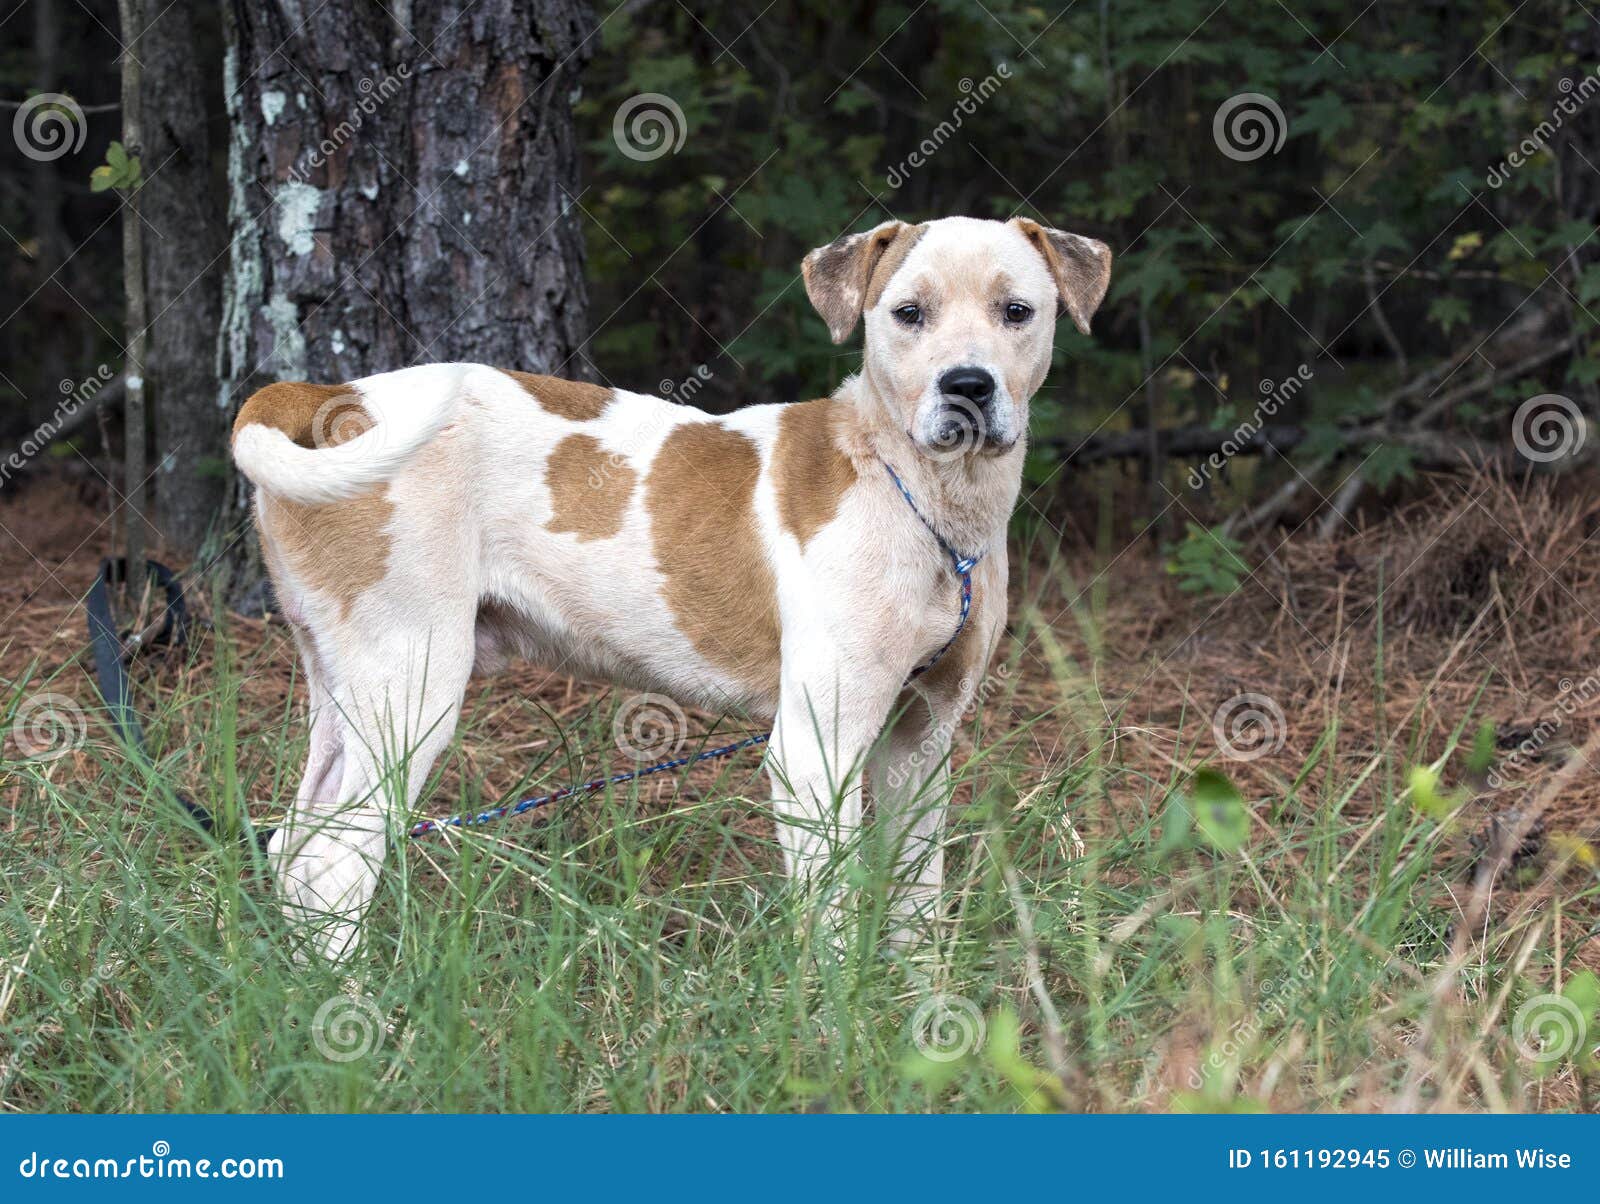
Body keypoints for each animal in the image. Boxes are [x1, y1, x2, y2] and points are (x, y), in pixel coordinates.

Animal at [232, 211, 1113, 954]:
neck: (917, 494)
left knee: (294, 850)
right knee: (333, 865)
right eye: (908, 314)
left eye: (1017, 312)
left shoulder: (919, 742)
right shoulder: (815, 752)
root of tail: (326, 395)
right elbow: (828, 928)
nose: (967, 386)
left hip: (348, 689)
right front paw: (833, 1029)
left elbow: (916, 907)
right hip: (411, 687)